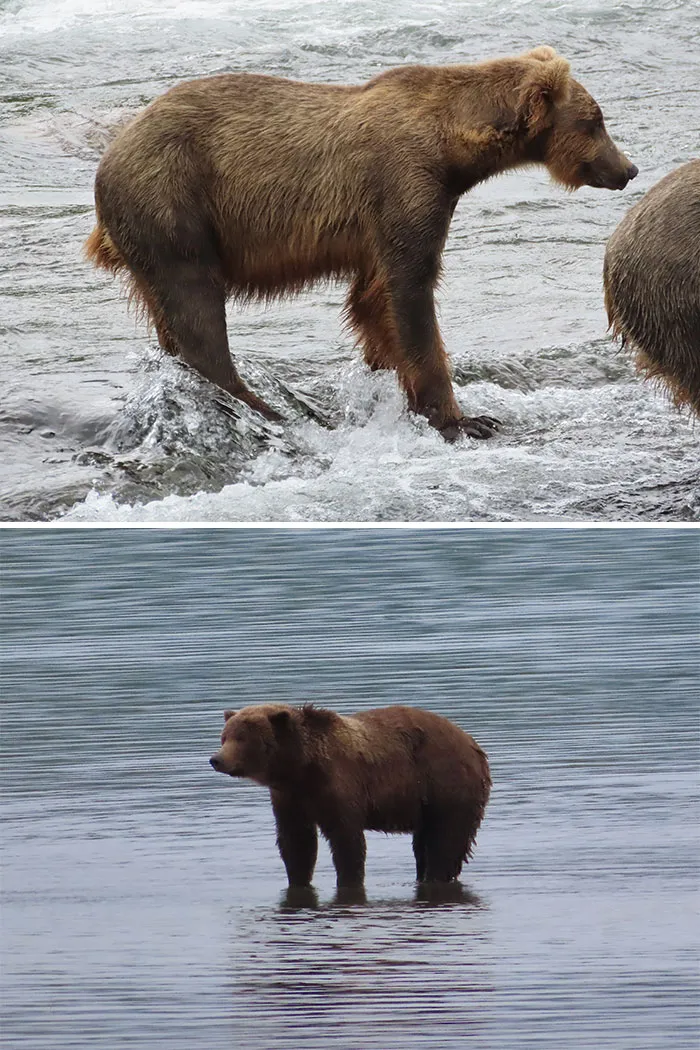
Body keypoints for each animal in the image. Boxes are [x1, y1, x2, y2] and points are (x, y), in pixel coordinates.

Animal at [86, 46, 637, 441]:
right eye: (596, 121)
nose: (628, 169)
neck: (453, 148)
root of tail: (109, 155)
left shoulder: (392, 218)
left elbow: (374, 300)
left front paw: (391, 381)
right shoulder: (405, 186)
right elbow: (411, 292)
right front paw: (465, 418)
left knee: (169, 314)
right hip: (173, 203)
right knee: (194, 301)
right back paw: (263, 406)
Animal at [209, 703, 491, 888]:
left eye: (242, 738)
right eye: (224, 737)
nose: (216, 759)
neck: (301, 767)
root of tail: (473, 744)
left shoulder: (341, 785)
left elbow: (346, 840)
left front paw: (348, 880)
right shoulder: (289, 798)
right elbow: (296, 842)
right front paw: (298, 878)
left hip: (445, 784)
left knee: (445, 841)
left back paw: (435, 877)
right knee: (425, 844)